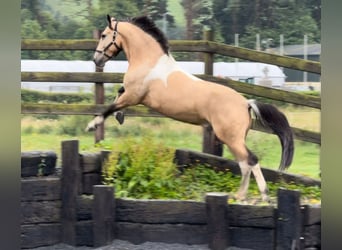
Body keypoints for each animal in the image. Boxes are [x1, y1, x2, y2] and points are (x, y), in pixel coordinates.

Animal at [86, 14, 294, 202]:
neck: (150, 62)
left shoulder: (134, 96)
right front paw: (119, 116)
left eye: (103, 35)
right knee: (246, 163)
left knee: (250, 160)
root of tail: (246, 103)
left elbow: (110, 107)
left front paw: (92, 125)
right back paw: (253, 196)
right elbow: (118, 95)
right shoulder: (131, 94)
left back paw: (251, 195)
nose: (96, 59)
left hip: (230, 137)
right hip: (235, 138)